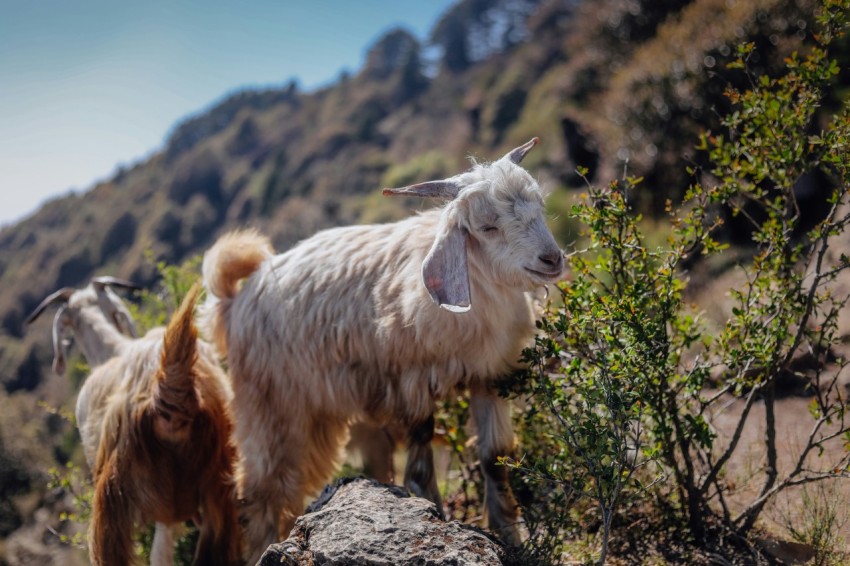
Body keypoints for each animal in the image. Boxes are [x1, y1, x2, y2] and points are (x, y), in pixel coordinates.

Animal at [200, 138, 564, 561]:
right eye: (488, 226)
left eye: (539, 205)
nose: (552, 259)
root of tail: (234, 302)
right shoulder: (413, 382)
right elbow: (420, 464)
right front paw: (432, 516)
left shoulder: (489, 377)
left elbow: (494, 459)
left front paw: (512, 538)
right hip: (273, 411)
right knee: (263, 494)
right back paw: (262, 548)